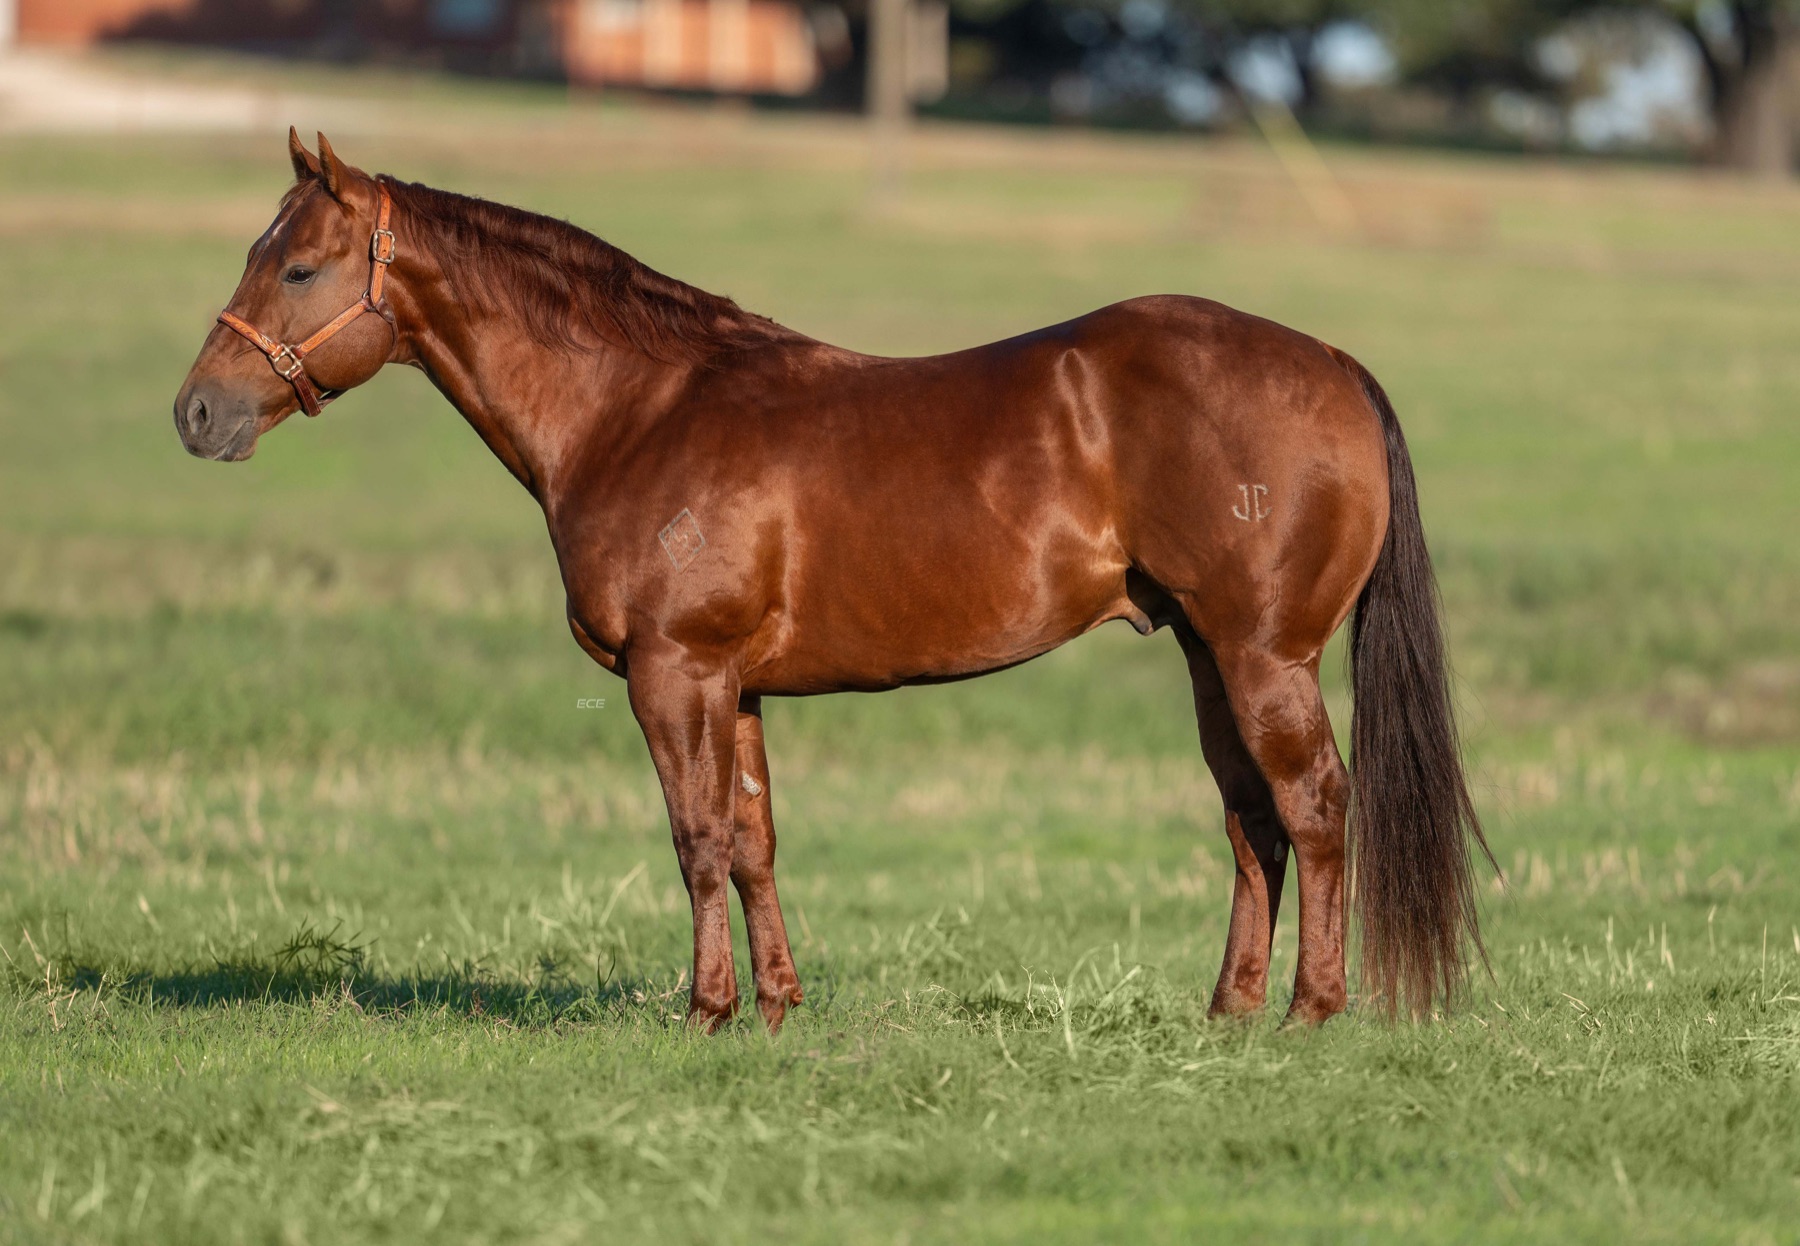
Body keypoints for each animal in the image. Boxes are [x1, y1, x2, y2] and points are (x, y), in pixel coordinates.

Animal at [173, 130, 1491, 1031]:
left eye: (300, 269)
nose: (196, 414)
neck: (639, 410)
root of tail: (1333, 361)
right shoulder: (736, 687)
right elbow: (755, 839)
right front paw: (776, 1004)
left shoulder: (675, 672)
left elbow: (697, 836)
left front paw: (705, 1010)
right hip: (1210, 656)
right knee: (1251, 821)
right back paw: (1229, 1009)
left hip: (1265, 657)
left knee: (1314, 806)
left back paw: (1313, 1009)